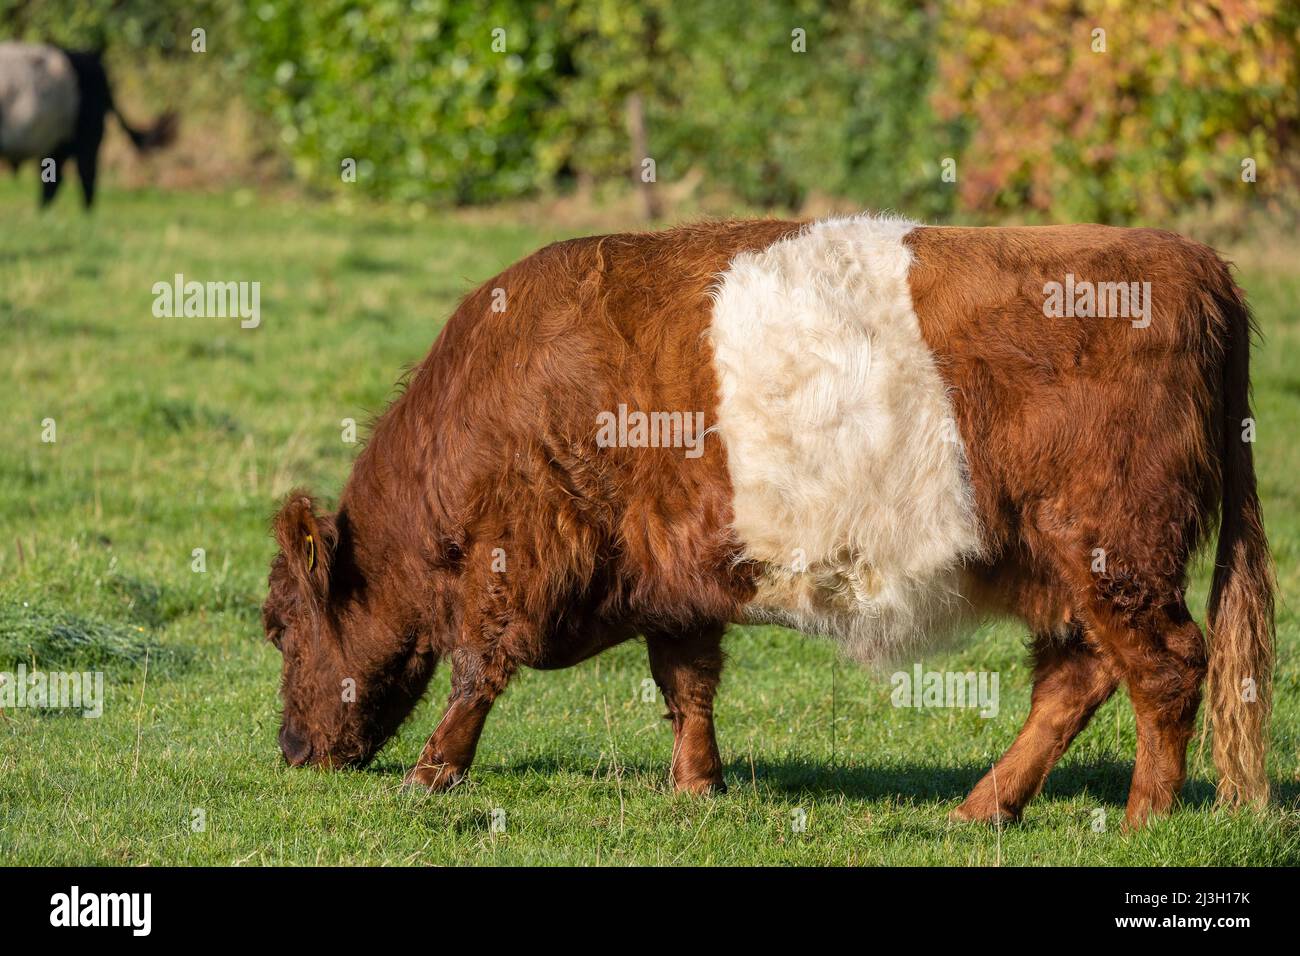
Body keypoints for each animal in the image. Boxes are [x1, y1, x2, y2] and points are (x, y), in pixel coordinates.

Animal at [261, 213, 1268, 827]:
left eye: (276, 627)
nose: (292, 752)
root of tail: (1193, 261)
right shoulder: (669, 575)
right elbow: (686, 684)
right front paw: (698, 787)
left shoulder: (516, 558)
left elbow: (479, 669)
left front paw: (430, 773)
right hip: (1068, 564)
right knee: (1077, 677)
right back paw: (983, 808)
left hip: (1111, 545)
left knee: (1168, 667)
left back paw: (1142, 818)